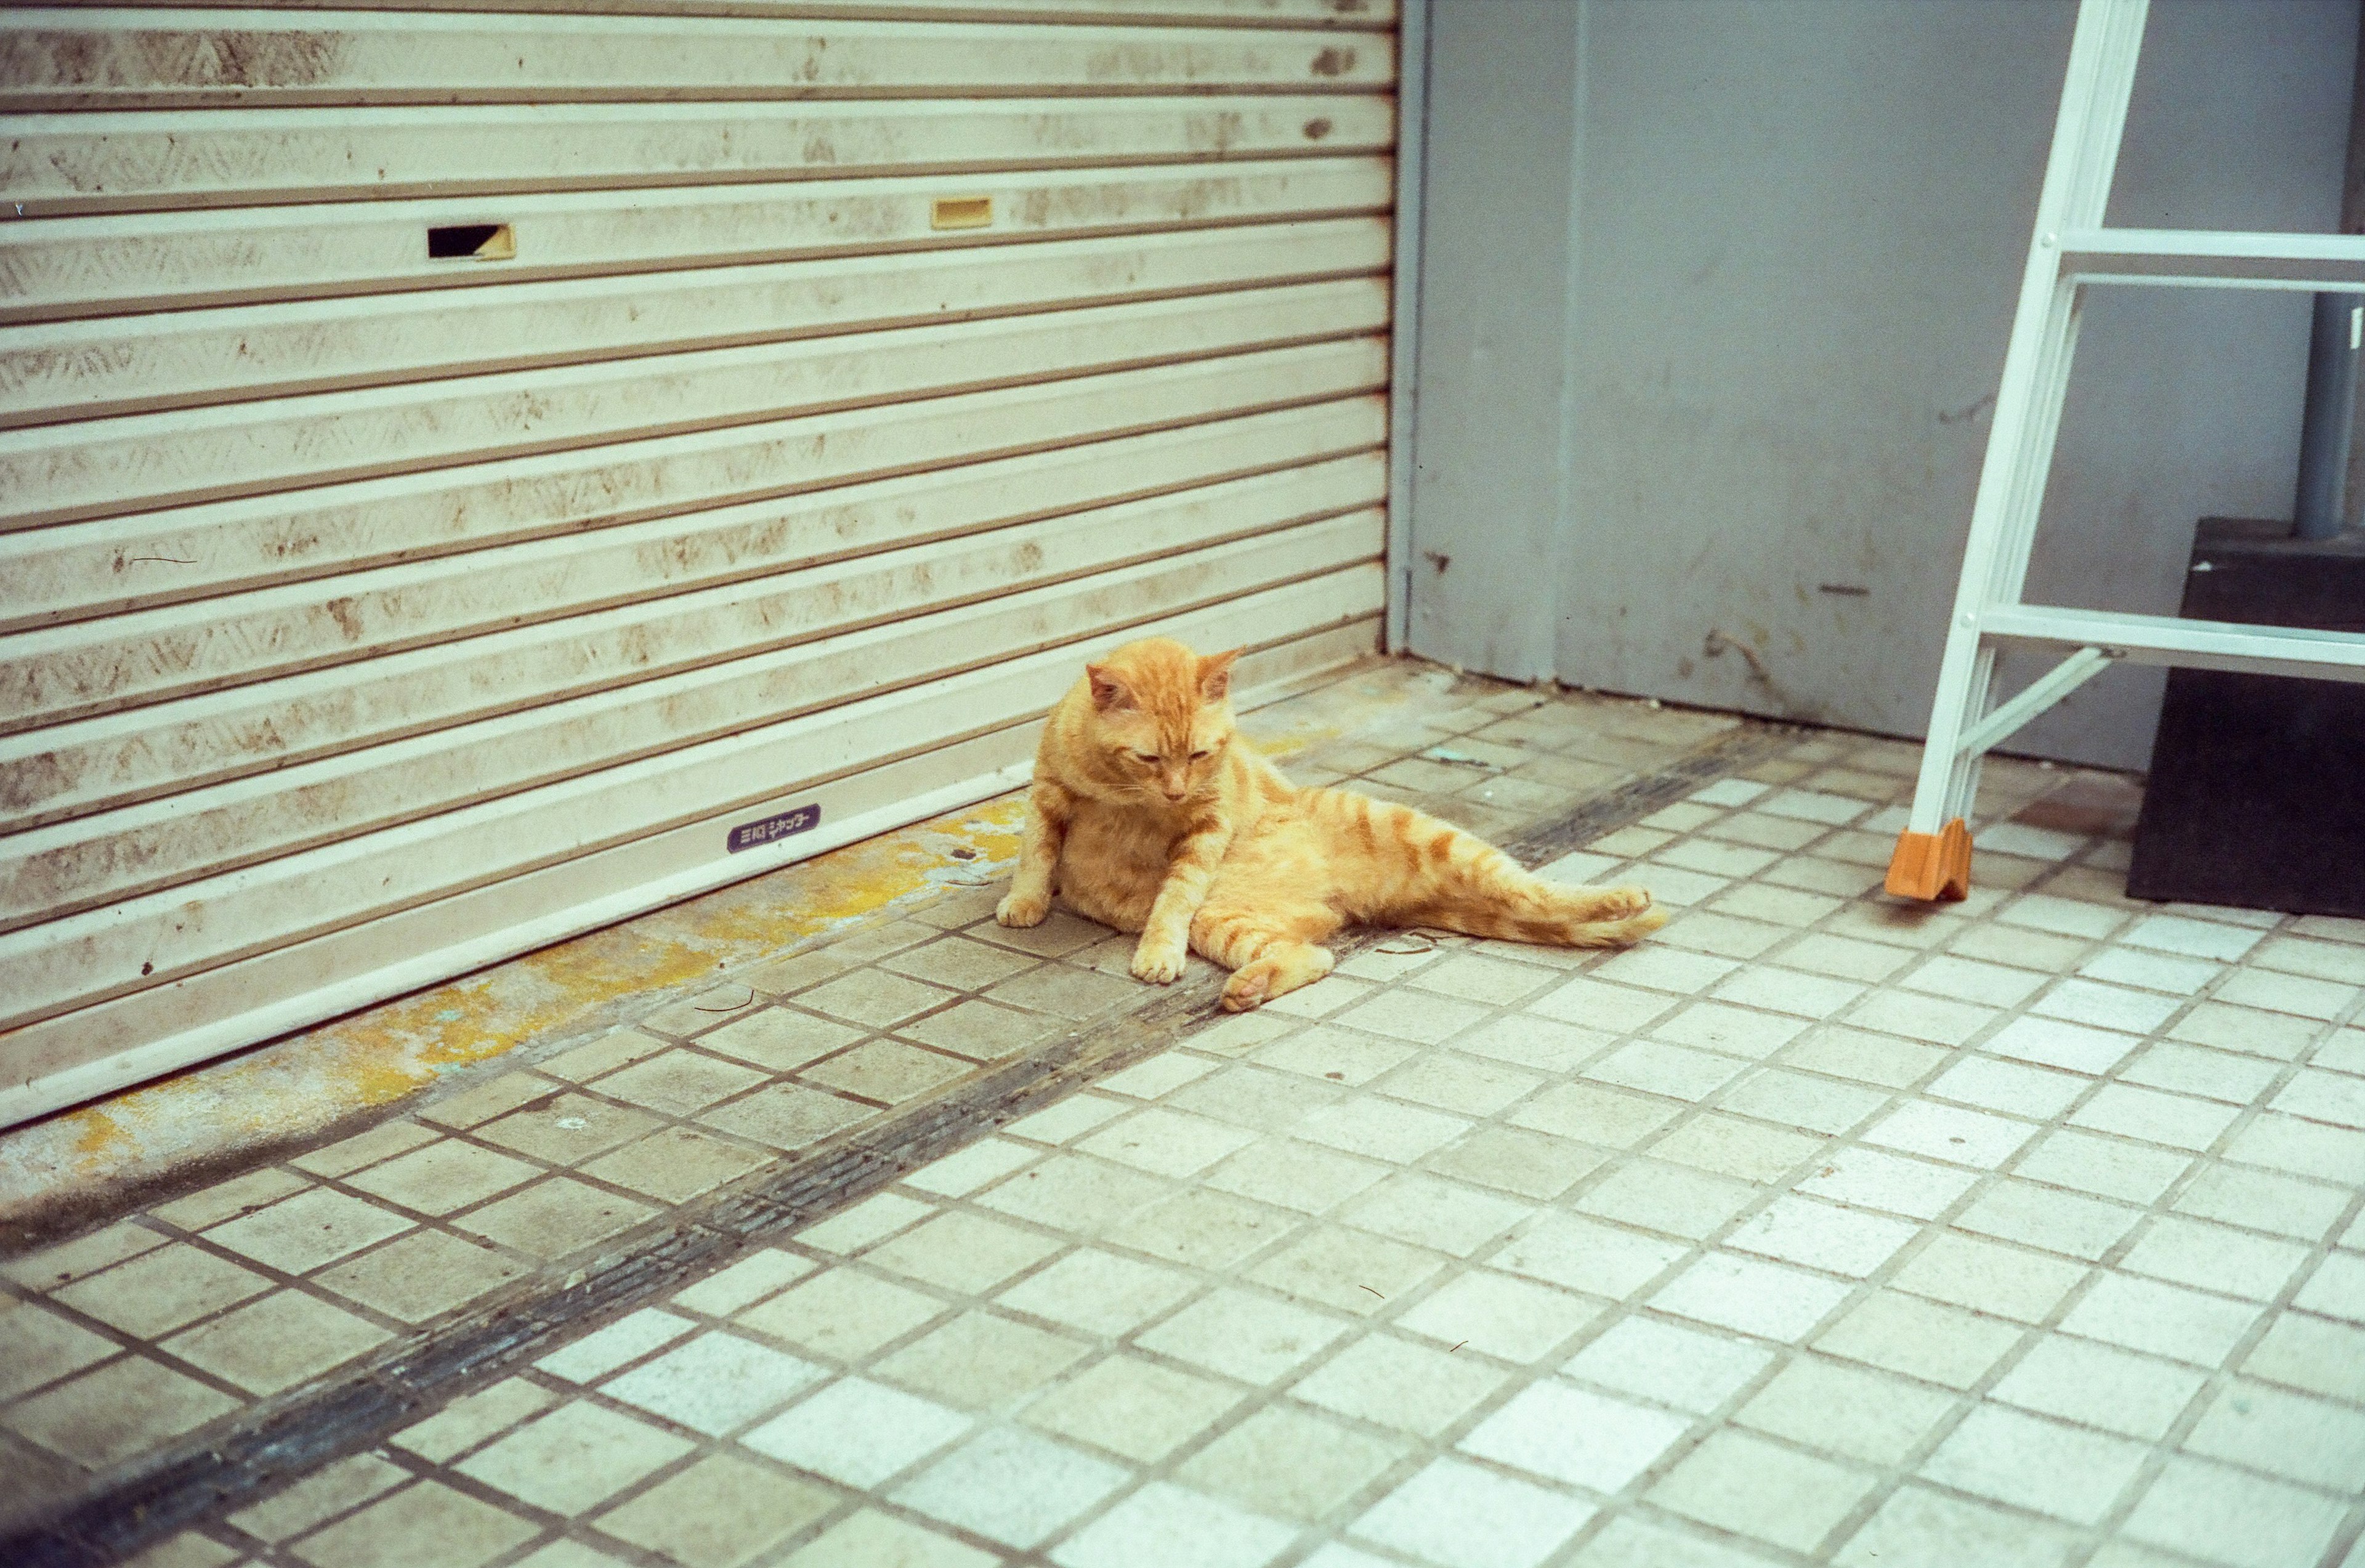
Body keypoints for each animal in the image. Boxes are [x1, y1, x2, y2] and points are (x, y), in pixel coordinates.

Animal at [998, 643, 1684, 1017]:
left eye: (1199, 755)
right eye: (1148, 757)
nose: (1175, 790)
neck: (1134, 798)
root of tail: (1355, 905)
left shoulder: (1207, 824)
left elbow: (1173, 894)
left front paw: (1156, 951)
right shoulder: (1049, 790)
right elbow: (1036, 850)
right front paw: (1026, 902)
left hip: (1431, 837)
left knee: (1535, 889)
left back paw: (1622, 897)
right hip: (1224, 921)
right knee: (1317, 956)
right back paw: (1250, 987)